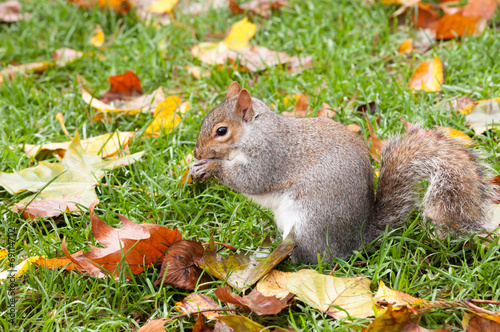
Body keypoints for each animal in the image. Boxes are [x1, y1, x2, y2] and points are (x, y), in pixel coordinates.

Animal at [190, 81, 496, 264]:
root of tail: (358, 237)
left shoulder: (270, 155)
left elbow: (251, 180)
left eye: (221, 131)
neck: (253, 132)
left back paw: (270, 257)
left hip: (309, 222)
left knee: (311, 258)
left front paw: (212, 167)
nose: (197, 153)